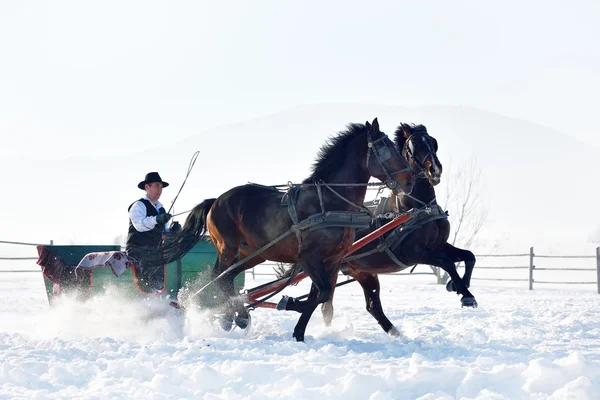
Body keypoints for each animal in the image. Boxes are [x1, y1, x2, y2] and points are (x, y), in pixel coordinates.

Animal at [151, 117, 418, 342]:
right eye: (386, 148)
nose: (410, 180)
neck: (329, 202)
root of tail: (216, 200)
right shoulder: (309, 257)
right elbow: (319, 294)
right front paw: (288, 303)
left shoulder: (333, 259)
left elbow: (320, 295)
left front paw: (299, 331)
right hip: (228, 246)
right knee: (219, 276)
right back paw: (234, 314)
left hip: (254, 253)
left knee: (226, 276)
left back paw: (236, 314)